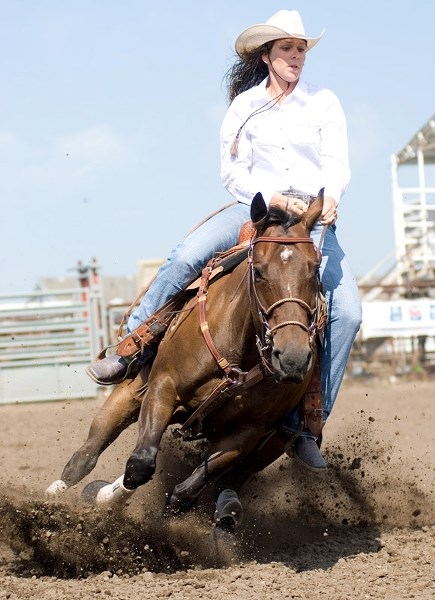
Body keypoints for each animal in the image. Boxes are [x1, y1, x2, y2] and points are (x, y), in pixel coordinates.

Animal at [72, 192, 328, 516]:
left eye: (315, 270)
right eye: (258, 271)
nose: (293, 358)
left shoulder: (249, 431)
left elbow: (186, 491)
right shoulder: (162, 387)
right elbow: (140, 464)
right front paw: (104, 496)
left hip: (272, 444)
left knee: (235, 478)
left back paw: (227, 510)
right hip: (127, 394)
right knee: (86, 454)